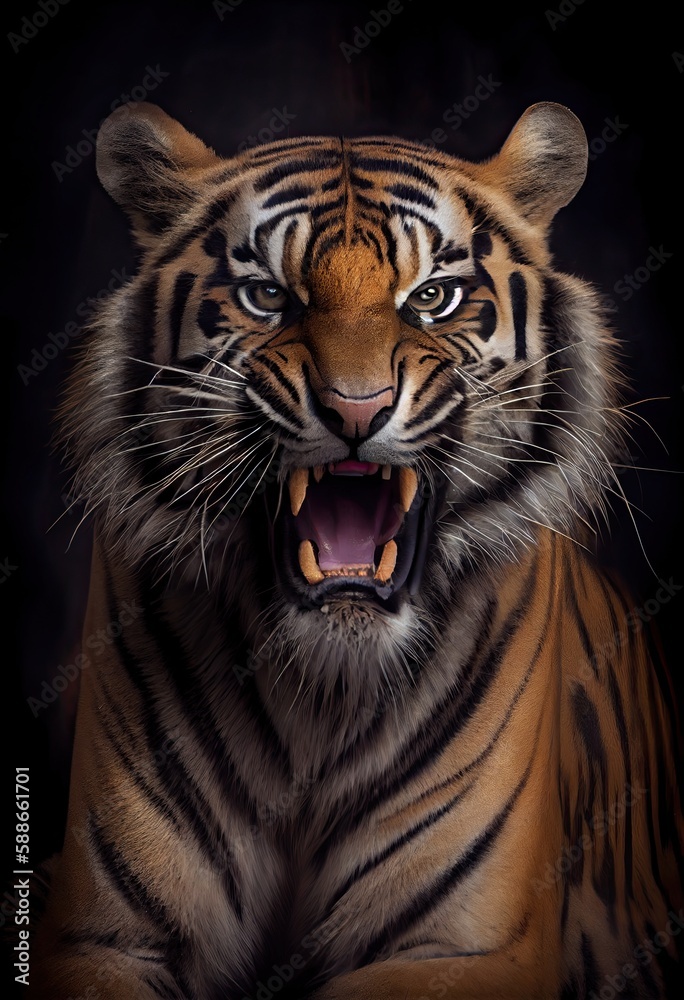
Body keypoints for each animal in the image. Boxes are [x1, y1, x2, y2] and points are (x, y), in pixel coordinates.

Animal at [30, 100, 683, 1000]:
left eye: (433, 298)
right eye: (269, 296)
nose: (356, 408)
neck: (321, 694)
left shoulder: (467, 948)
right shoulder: (103, 935)